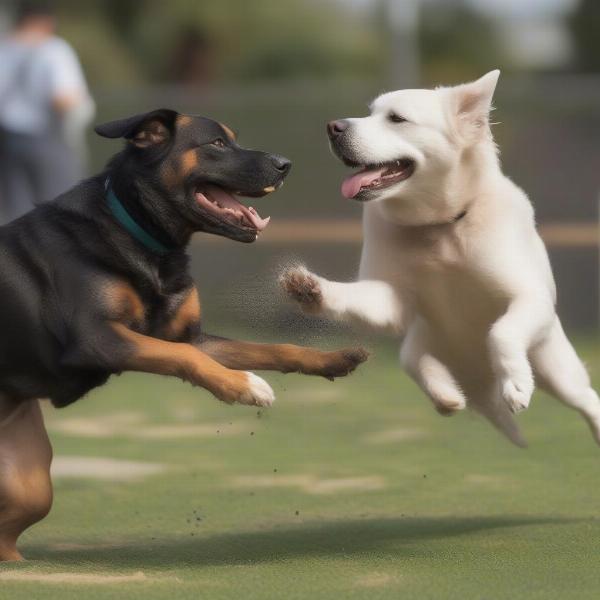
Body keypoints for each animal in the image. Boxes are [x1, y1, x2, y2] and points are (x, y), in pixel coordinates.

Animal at [0, 109, 366, 564]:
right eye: (217, 144)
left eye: (233, 139)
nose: (285, 164)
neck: (141, 234)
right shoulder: (99, 338)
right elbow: (188, 361)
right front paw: (244, 387)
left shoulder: (192, 338)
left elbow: (270, 348)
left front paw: (332, 359)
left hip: (29, 483)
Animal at [282, 70, 600, 446]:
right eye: (370, 112)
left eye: (396, 118)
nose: (333, 127)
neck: (439, 228)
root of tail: (479, 382)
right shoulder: (393, 302)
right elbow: (351, 295)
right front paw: (310, 289)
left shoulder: (530, 297)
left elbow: (501, 333)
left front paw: (517, 384)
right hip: (415, 349)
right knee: (425, 371)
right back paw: (446, 394)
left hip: (556, 368)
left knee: (587, 399)